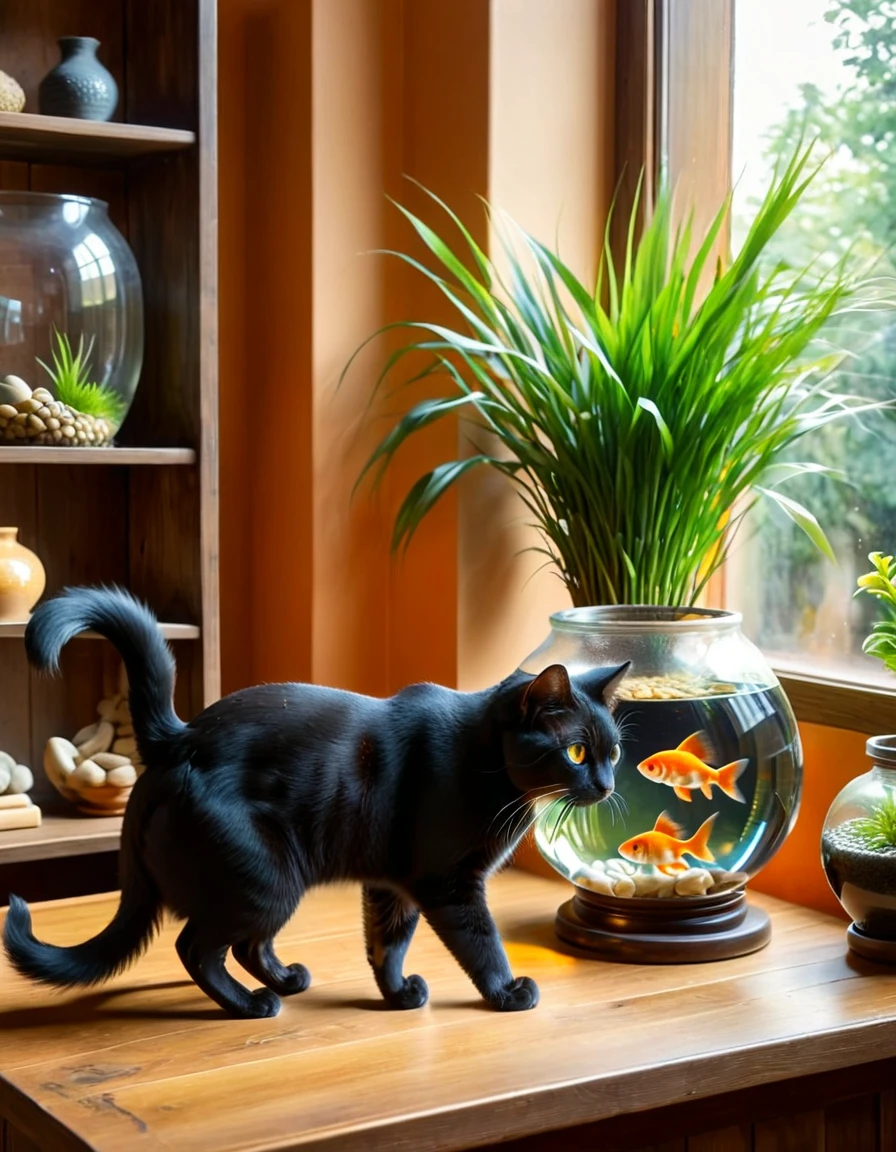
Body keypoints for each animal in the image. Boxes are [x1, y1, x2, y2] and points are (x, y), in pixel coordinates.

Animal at [3, 589, 626, 1013]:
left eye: (614, 751)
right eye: (576, 752)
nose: (606, 785)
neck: (488, 766)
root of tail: (179, 738)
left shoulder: (391, 879)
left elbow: (387, 941)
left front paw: (397, 993)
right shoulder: (447, 881)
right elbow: (481, 942)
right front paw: (506, 991)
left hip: (272, 879)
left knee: (245, 945)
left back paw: (285, 981)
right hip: (267, 876)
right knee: (197, 946)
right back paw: (250, 1005)